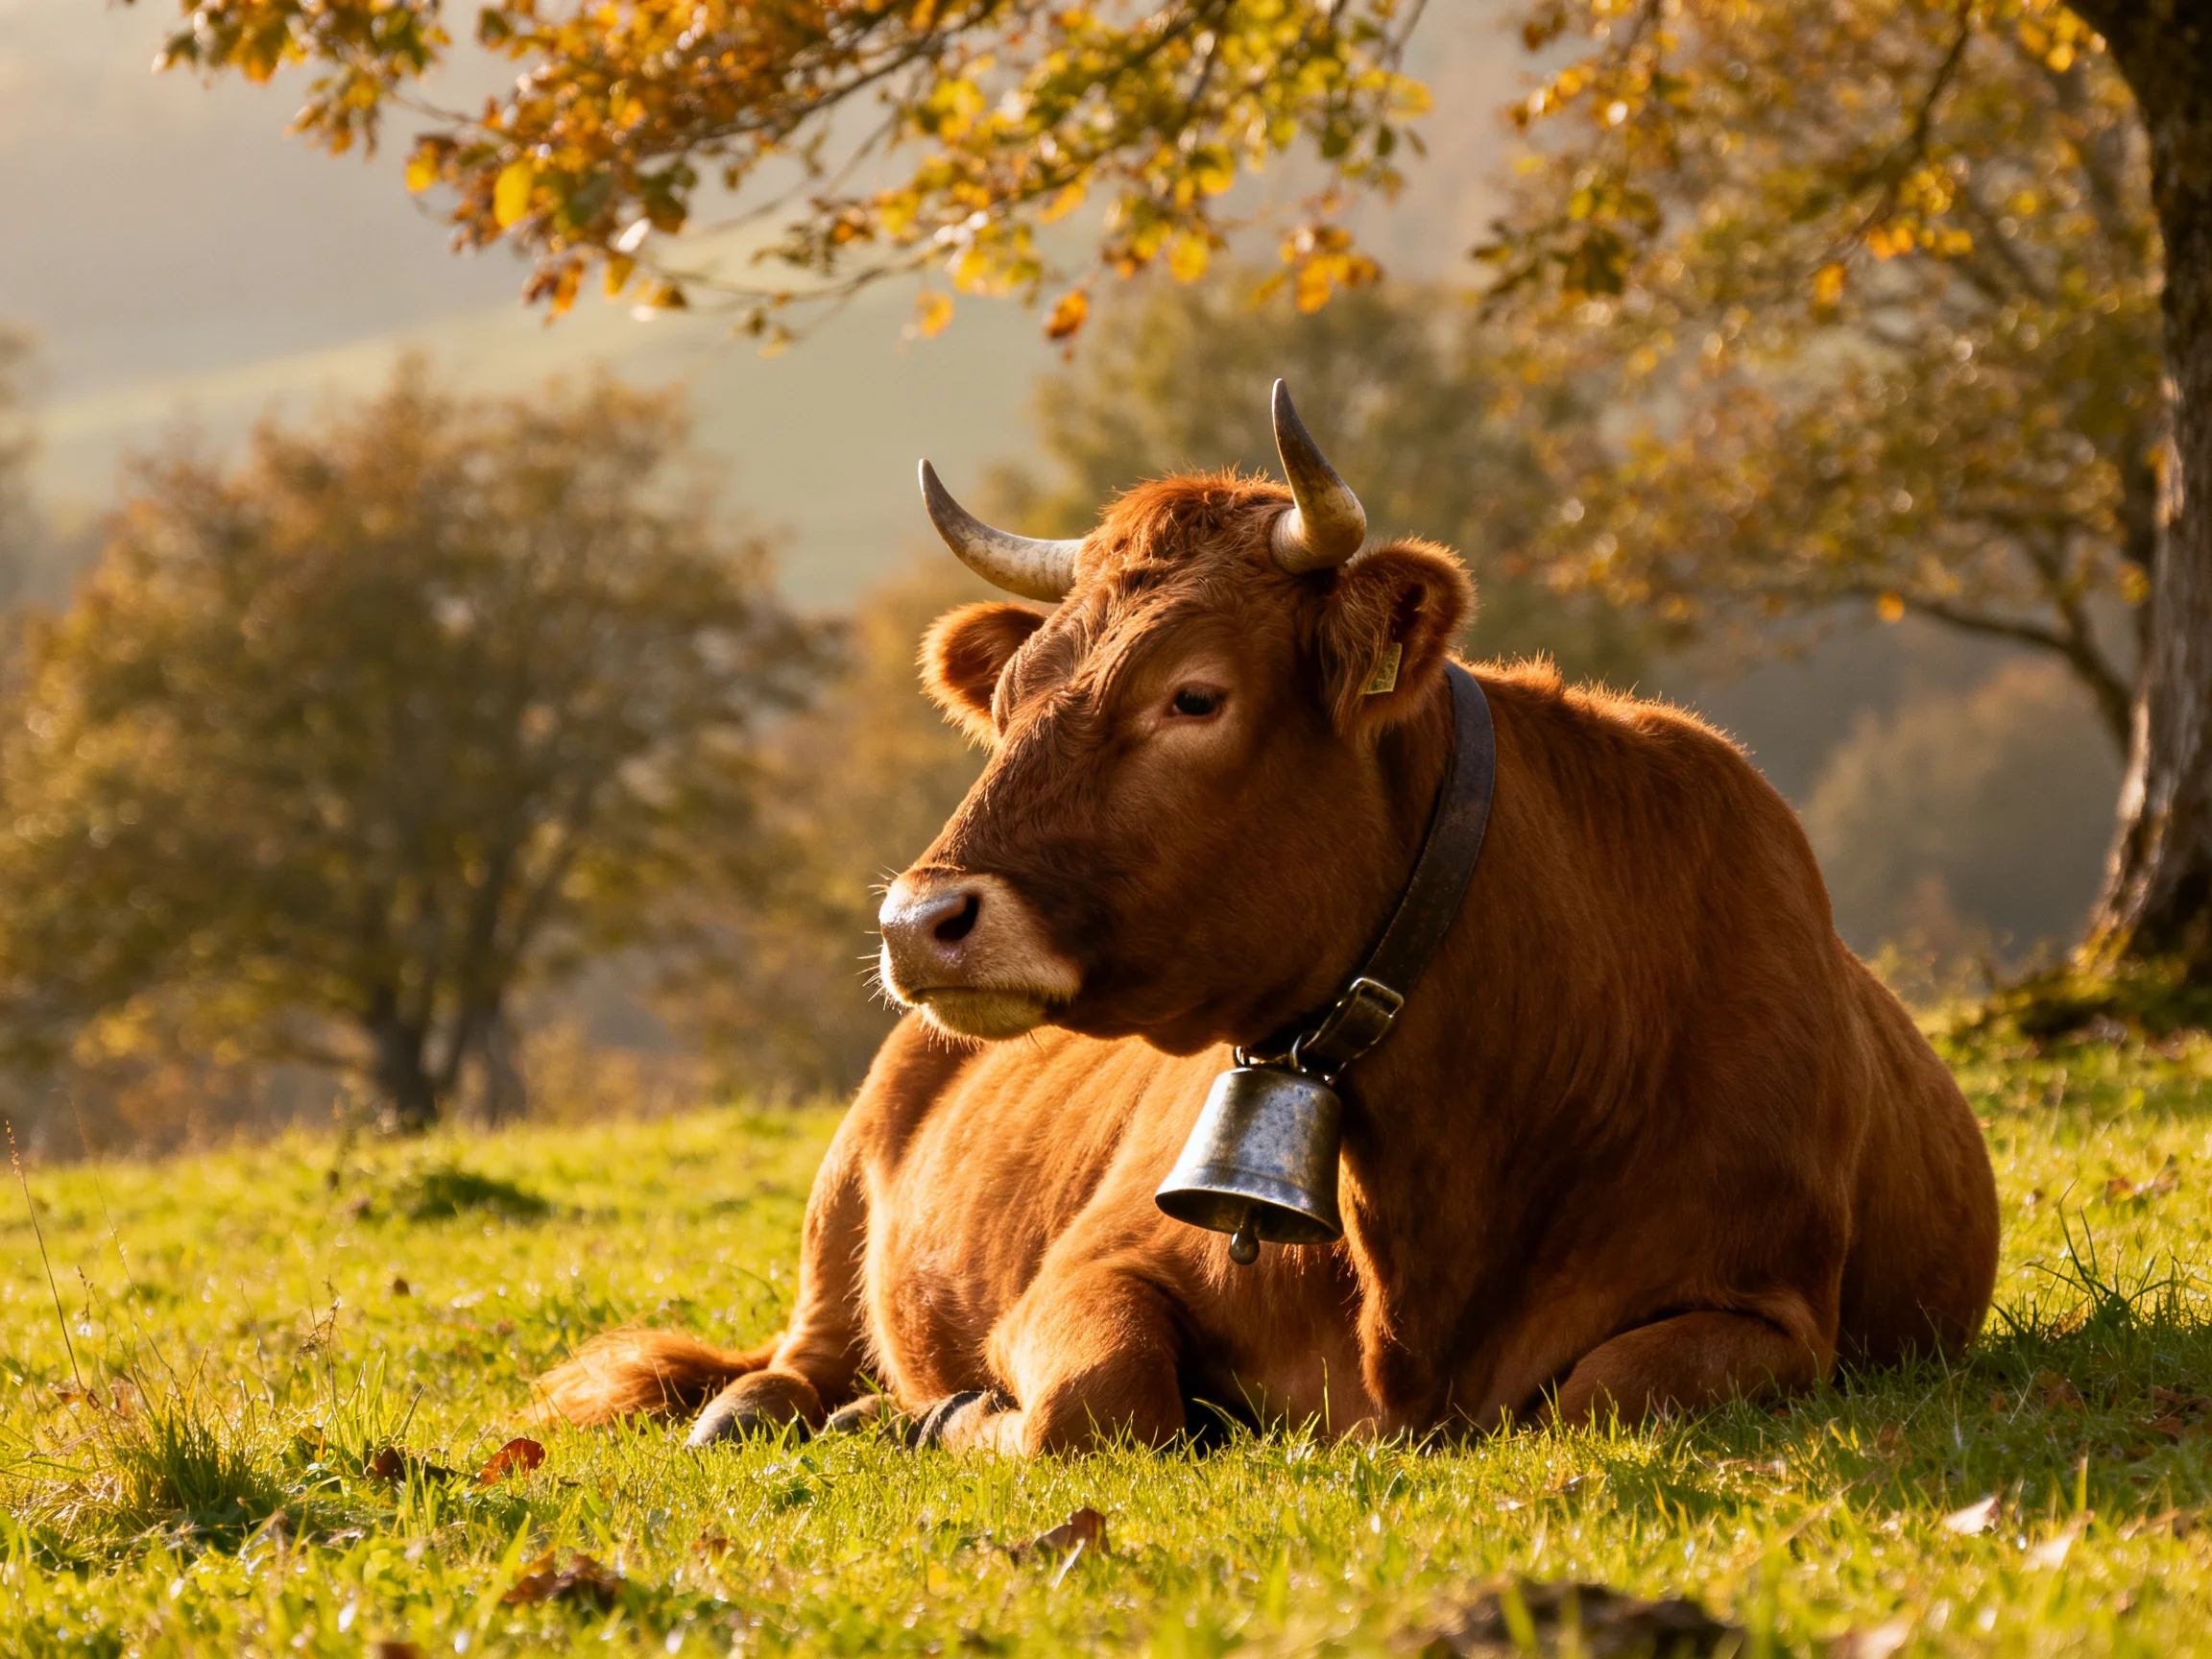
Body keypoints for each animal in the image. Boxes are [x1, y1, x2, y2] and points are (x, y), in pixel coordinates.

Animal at [533, 383, 2000, 1454]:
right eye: (1007, 697)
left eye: (1193, 695)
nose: (919, 919)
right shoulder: (1096, 1260)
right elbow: (1096, 1406)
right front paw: (953, 1413)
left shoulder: (1769, 1309)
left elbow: (1601, 1394)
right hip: (843, 1199)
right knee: (794, 1357)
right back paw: (778, 1408)